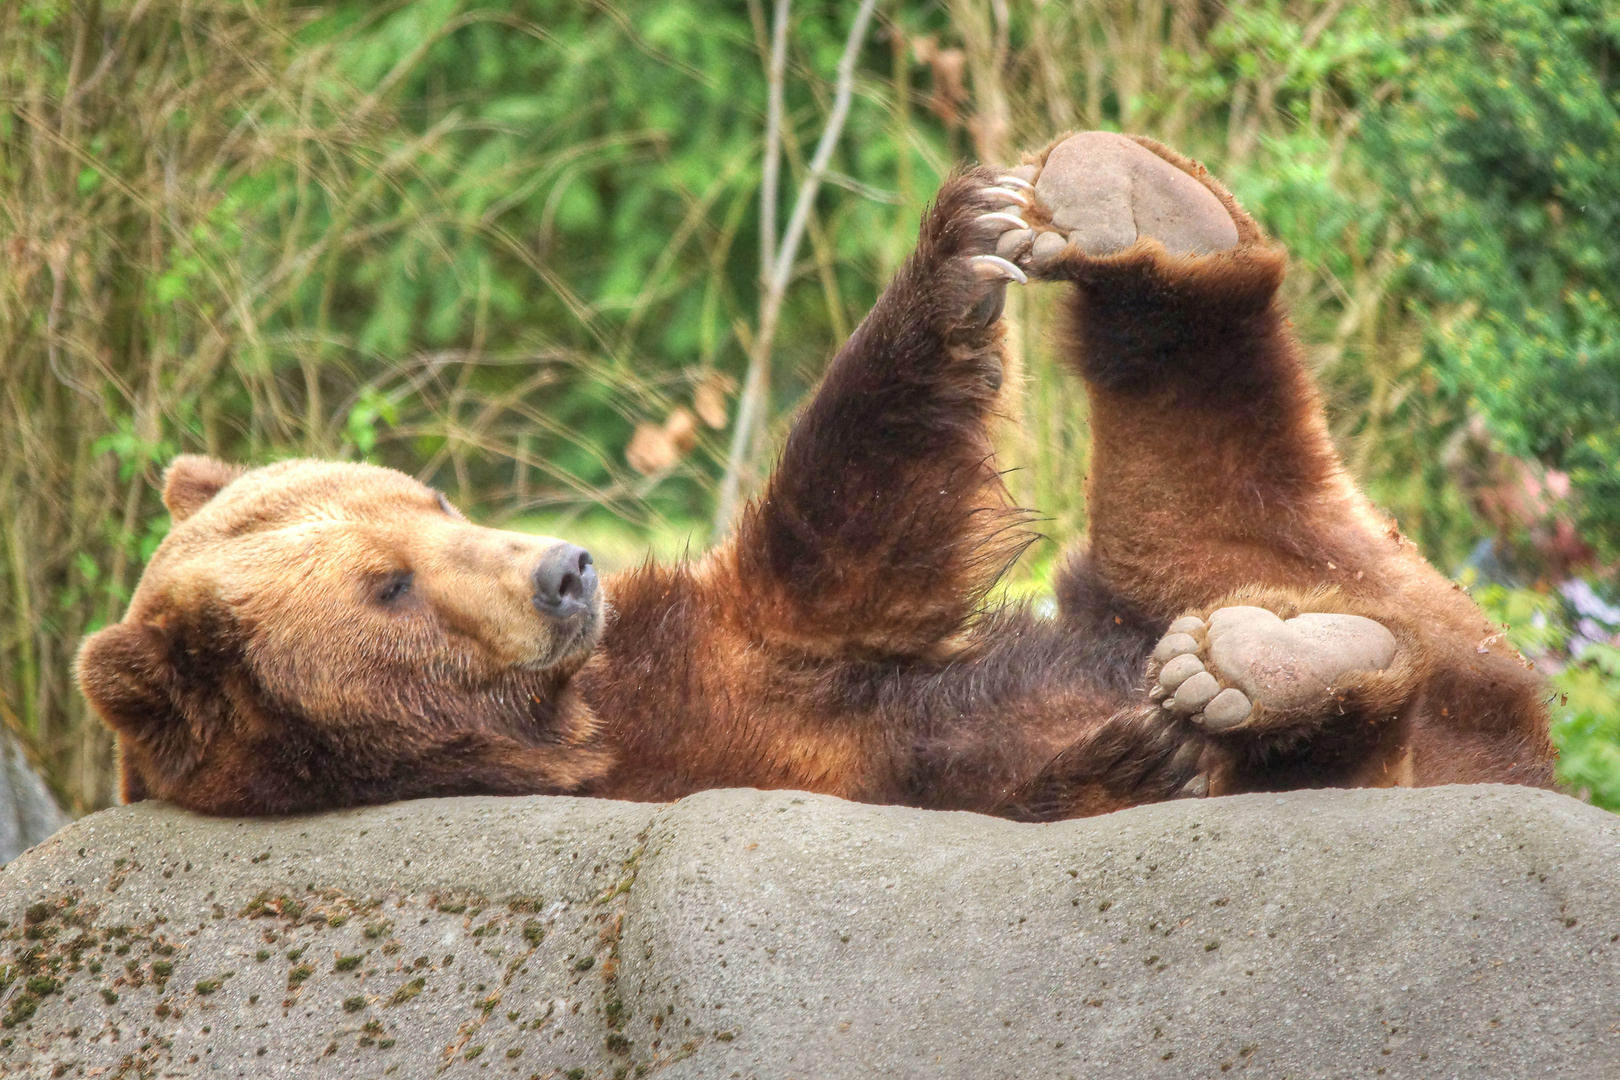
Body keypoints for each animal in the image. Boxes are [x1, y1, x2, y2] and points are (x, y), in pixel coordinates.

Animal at [76, 128, 1555, 819]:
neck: (567, 719)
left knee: (1219, 466)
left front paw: (962, 241)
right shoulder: (727, 750)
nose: (565, 570)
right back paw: (1255, 677)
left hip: (1314, 578)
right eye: (386, 587)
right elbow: (893, 652)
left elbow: (848, 538)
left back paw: (1138, 207)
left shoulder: (702, 643)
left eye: (427, 499)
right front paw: (1136, 745)